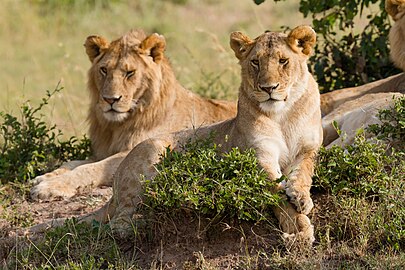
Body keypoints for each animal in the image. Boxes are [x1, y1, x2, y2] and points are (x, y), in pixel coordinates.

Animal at [30, 30, 235, 201]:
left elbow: (89, 169)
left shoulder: (136, 152)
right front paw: (44, 177)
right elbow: (72, 162)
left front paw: (49, 187)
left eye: (130, 73)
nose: (110, 99)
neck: (116, 126)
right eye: (104, 70)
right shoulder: (103, 151)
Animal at [62, 24, 322, 242]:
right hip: (150, 155)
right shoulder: (260, 156)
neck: (283, 115)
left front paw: (301, 197)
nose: (268, 88)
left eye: (283, 61)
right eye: (256, 62)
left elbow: (304, 172)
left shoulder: (308, 149)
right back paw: (133, 226)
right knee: (120, 216)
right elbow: (277, 194)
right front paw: (299, 230)